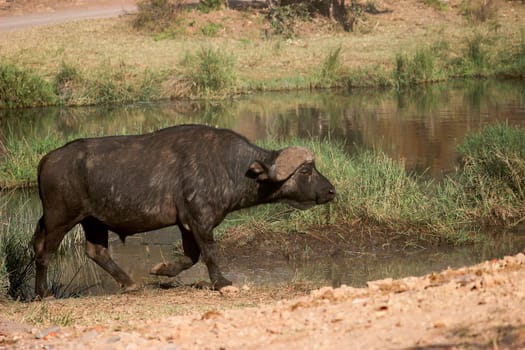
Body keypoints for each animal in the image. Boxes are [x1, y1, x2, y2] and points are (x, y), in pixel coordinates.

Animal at [32, 124, 336, 296]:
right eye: (306, 171)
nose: (331, 191)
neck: (230, 167)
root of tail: (48, 159)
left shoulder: (186, 224)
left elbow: (191, 256)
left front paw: (162, 270)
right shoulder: (200, 220)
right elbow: (209, 252)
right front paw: (222, 282)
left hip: (94, 221)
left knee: (95, 251)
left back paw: (129, 283)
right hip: (60, 219)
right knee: (43, 251)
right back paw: (43, 292)